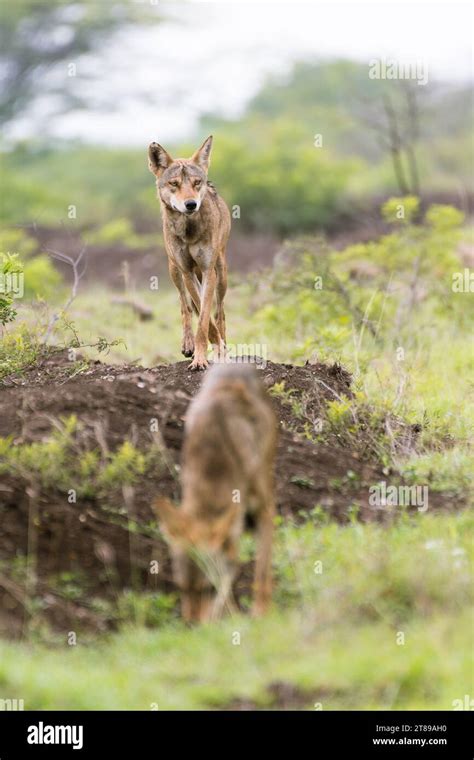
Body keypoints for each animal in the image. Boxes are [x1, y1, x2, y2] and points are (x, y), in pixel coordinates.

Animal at [147, 137, 231, 374]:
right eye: (174, 184)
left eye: (196, 183)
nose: (191, 204)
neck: (189, 231)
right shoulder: (186, 271)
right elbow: (198, 314)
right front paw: (199, 352)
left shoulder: (208, 271)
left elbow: (205, 319)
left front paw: (207, 357)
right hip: (174, 271)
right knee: (185, 306)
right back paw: (188, 344)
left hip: (221, 275)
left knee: (219, 313)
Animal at [152, 366, 278, 620]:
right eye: (182, 588)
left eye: (207, 589)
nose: (191, 626)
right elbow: (228, 586)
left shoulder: (265, 509)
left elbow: (262, 571)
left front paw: (261, 614)